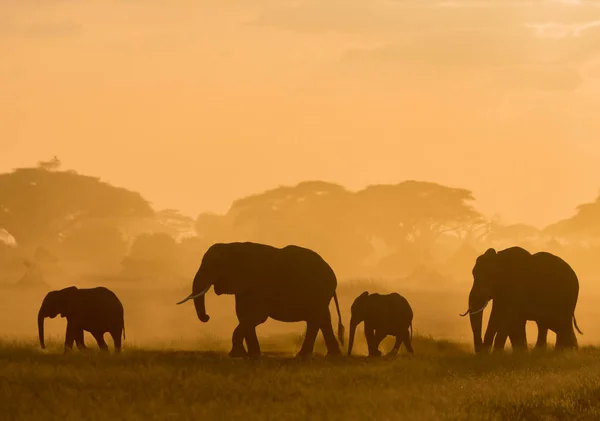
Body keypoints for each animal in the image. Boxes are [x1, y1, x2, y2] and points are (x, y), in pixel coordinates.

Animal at [176, 241, 344, 356]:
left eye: (215, 265)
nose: (207, 317)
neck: (232, 246)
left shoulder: (259, 284)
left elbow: (257, 316)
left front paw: (236, 355)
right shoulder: (244, 287)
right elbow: (243, 315)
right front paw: (252, 356)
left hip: (319, 291)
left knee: (315, 319)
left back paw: (302, 357)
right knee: (323, 319)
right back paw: (331, 356)